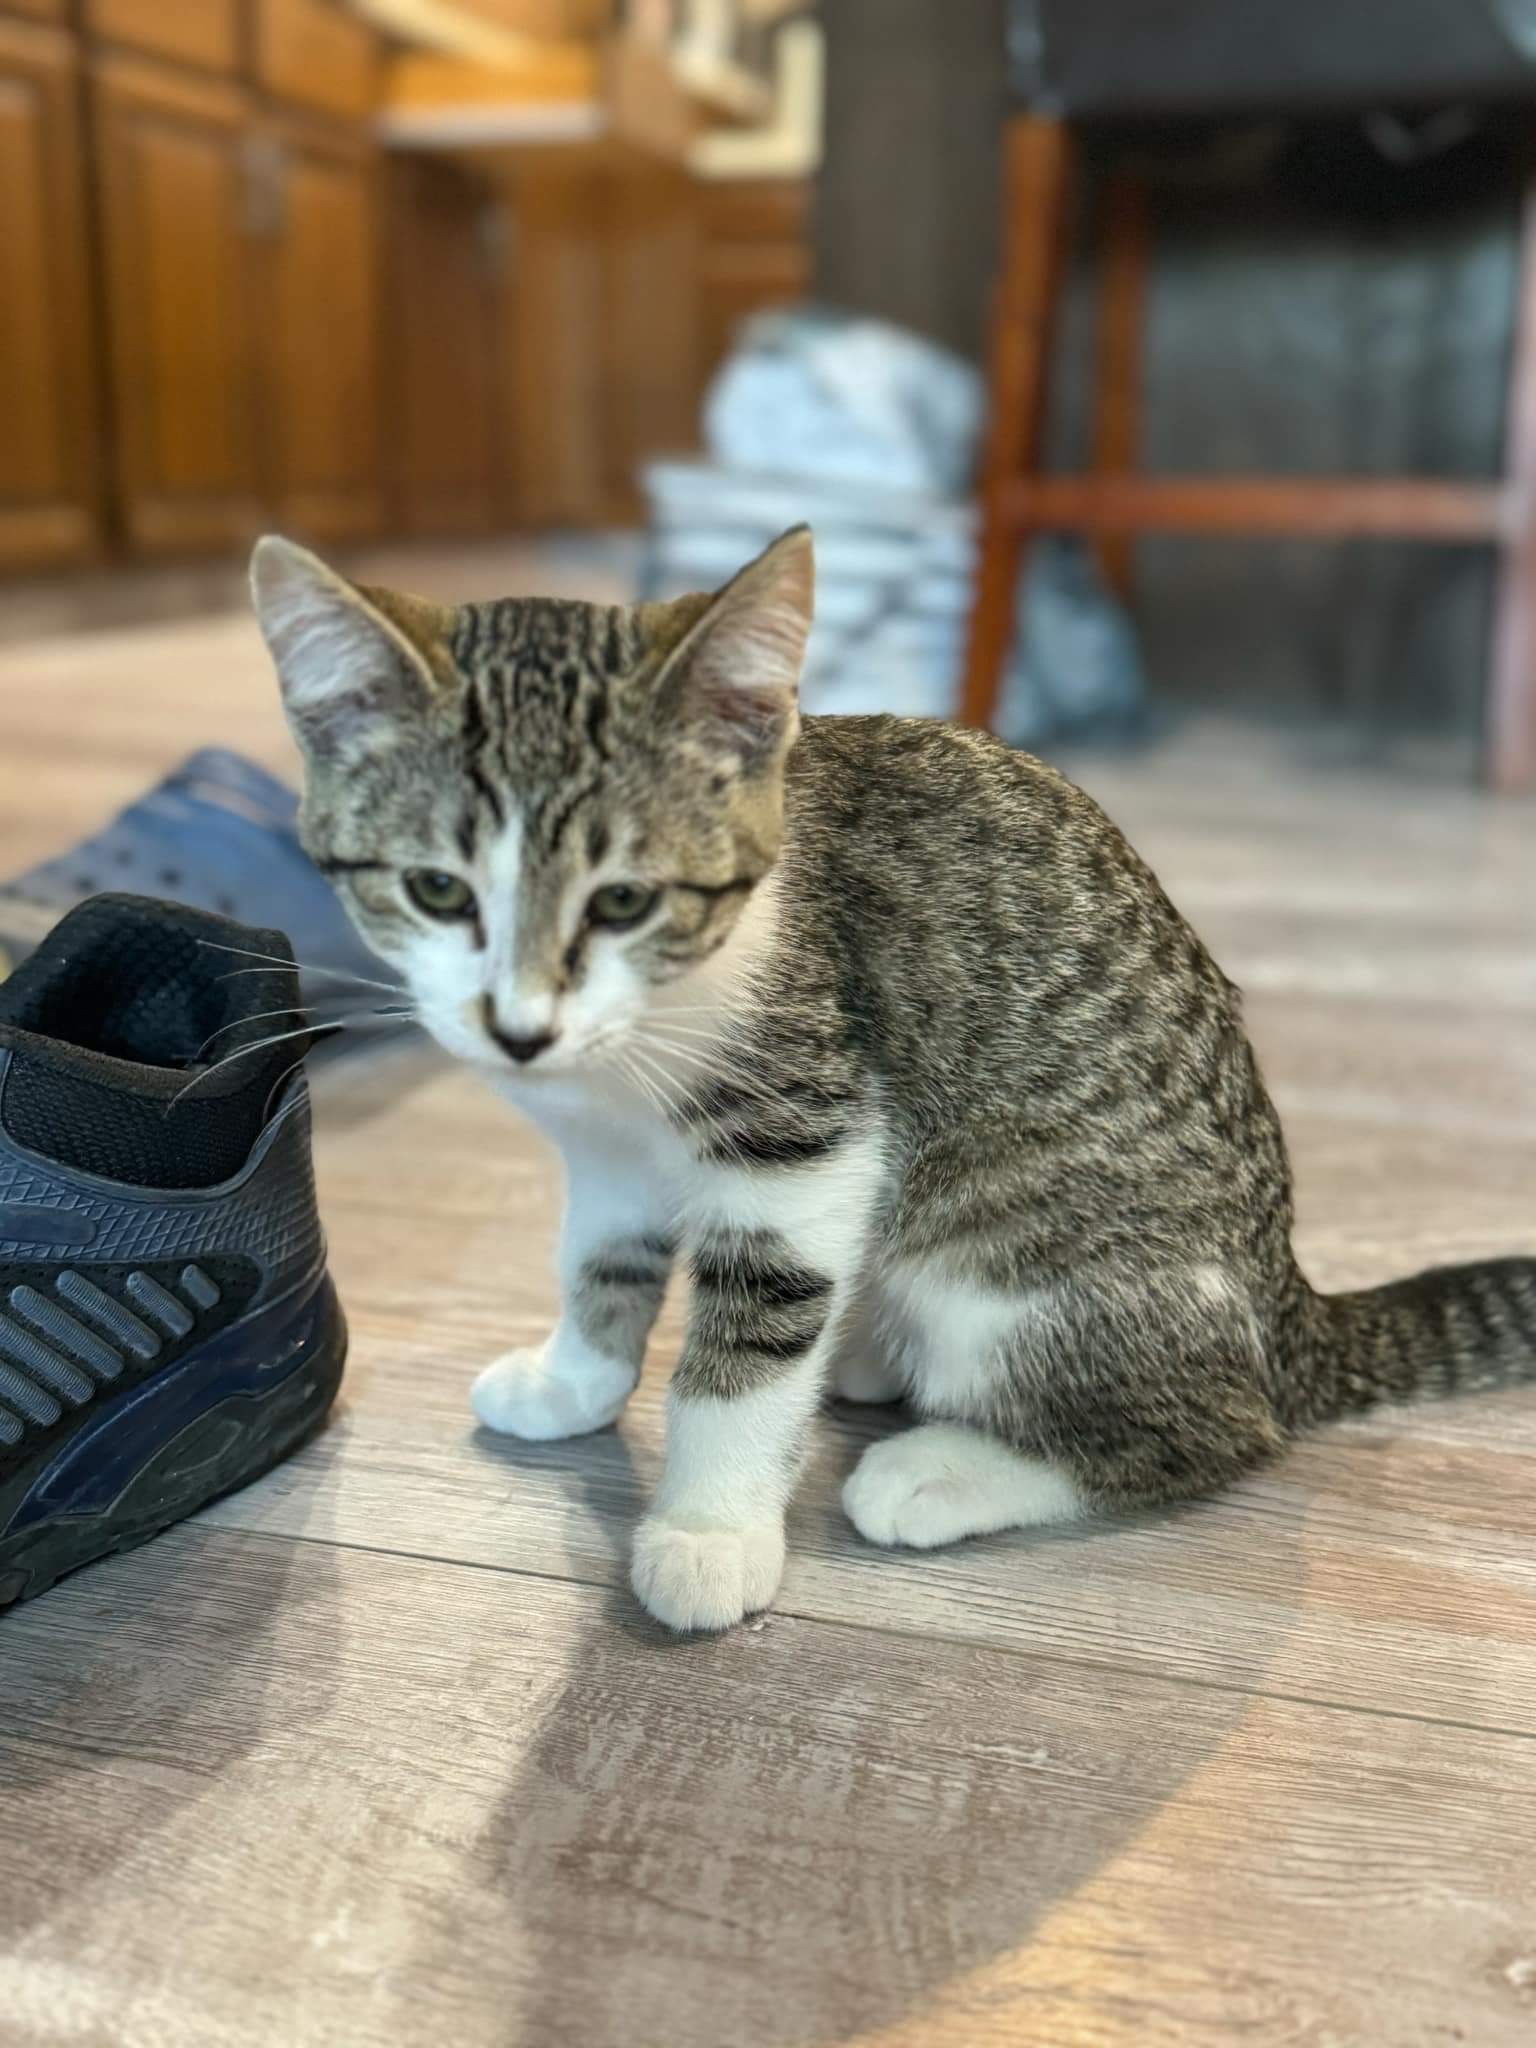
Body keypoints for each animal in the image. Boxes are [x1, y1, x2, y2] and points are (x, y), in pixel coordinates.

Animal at [252, 524, 1536, 1630]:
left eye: (623, 898)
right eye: (437, 890)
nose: (519, 1029)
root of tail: (1288, 1304)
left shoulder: (808, 1125)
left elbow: (750, 1335)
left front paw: (709, 1527)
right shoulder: (607, 1150)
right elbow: (599, 1260)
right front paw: (578, 1377)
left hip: (1035, 1262)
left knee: (1223, 1425)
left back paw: (947, 1467)